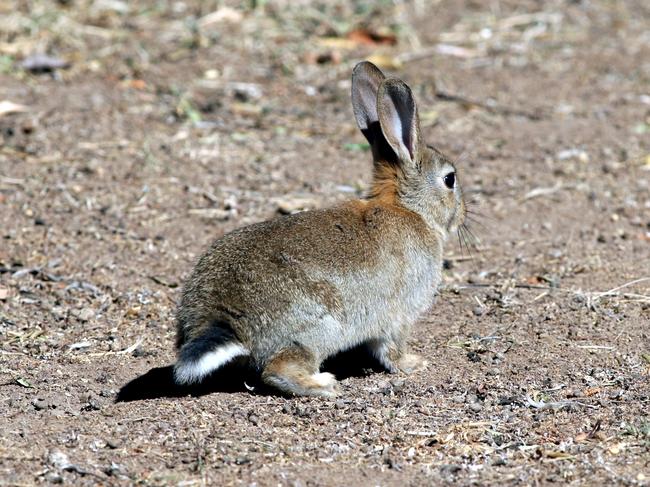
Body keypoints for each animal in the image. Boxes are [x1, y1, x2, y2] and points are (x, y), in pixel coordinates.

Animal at [172, 62, 464, 396]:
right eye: (450, 179)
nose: (463, 214)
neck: (408, 207)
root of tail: (224, 317)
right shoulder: (397, 316)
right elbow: (392, 348)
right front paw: (414, 364)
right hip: (320, 328)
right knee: (278, 370)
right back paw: (323, 384)